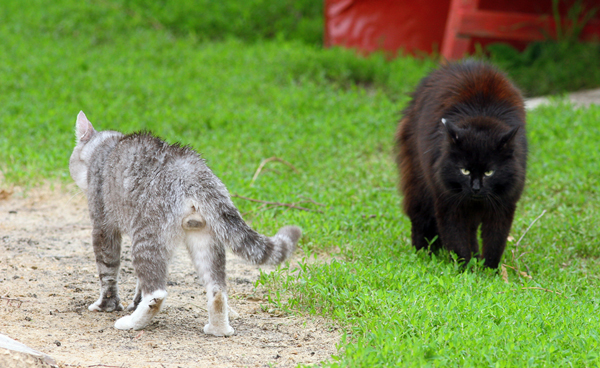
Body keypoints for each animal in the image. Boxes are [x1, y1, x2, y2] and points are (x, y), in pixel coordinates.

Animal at [70, 111, 302, 336]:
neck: (107, 146)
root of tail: (194, 173)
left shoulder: (103, 227)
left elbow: (108, 270)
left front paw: (107, 305)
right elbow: (138, 283)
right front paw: (134, 302)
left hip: (146, 235)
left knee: (157, 293)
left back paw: (134, 322)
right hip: (205, 238)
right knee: (217, 290)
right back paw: (218, 328)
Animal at [396, 59, 528, 268]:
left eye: (489, 172)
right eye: (464, 170)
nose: (475, 188)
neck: (482, 114)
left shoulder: (503, 207)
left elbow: (494, 244)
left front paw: (488, 271)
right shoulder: (449, 204)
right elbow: (458, 242)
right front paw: (465, 269)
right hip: (419, 185)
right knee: (419, 218)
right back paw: (423, 253)